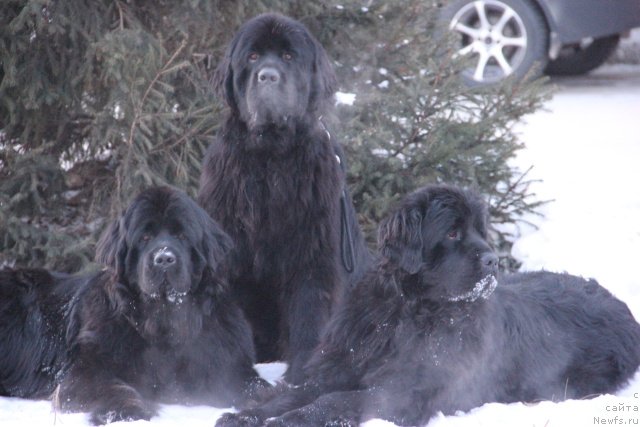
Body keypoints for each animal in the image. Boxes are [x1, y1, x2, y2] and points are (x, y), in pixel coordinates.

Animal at [0, 186, 268, 424]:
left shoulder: (228, 366)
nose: (164, 259)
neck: (163, 323)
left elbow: (255, 387)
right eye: (145, 237)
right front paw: (127, 412)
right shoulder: (87, 370)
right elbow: (113, 387)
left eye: (181, 236)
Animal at [216, 185, 640, 427]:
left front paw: (291, 421)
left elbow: (337, 399)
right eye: (452, 233)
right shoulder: (340, 363)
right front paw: (247, 415)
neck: (405, 311)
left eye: (480, 231)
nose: (493, 261)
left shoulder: (406, 388)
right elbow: (298, 391)